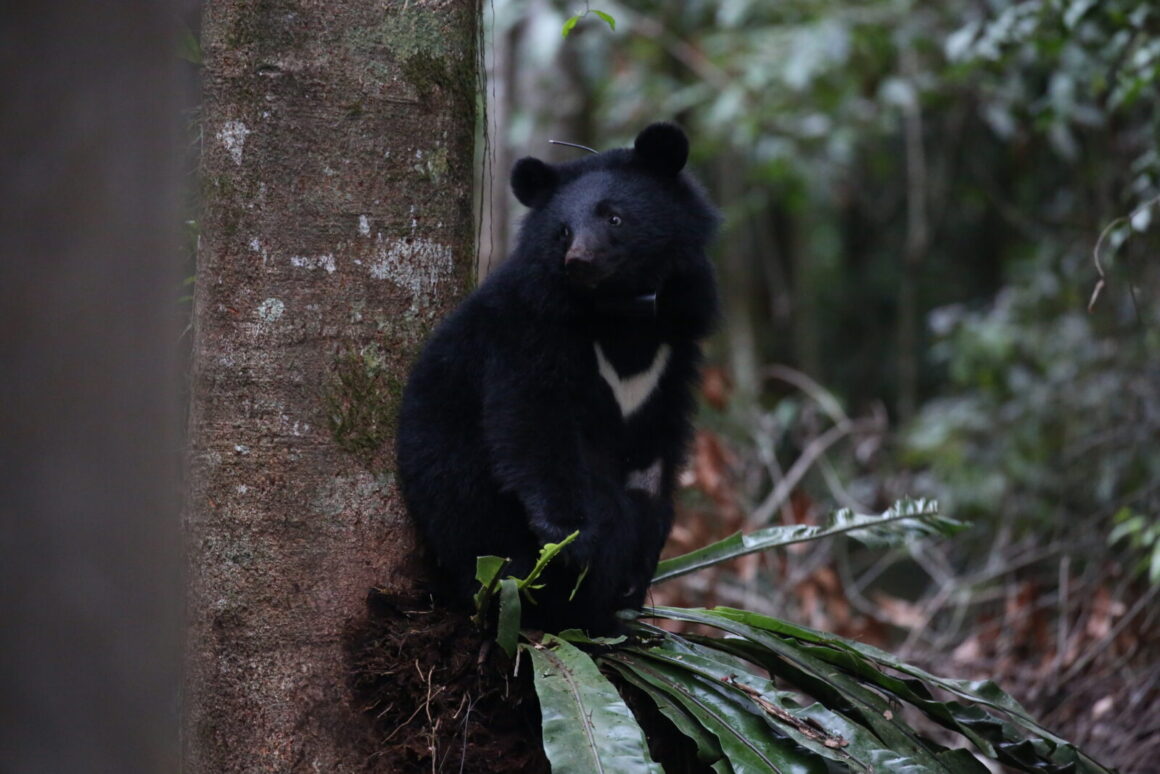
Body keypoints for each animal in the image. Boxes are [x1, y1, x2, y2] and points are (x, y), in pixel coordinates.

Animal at [396, 122, 719, 635]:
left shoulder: (674, 351)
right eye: (562, 230)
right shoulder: (529, 330)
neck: (621, 314)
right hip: (483, 533)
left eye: (614, 218)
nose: (578, 260)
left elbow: (653, 457)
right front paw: (573, 542)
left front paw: (644, 555)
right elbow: (534, 424)